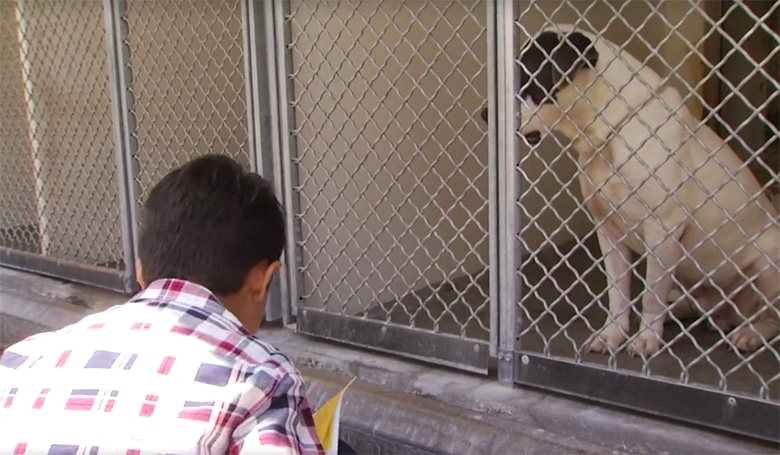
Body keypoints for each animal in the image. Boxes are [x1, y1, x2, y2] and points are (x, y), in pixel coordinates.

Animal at [482, 26, 780, 358]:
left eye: (526, 77)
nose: (485, 114)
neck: (607, 132)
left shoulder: (663, 230)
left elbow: (651, 293)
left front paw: (646, 338)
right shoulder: (609, 230)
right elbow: (618, 291)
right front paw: (612, 334)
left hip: (769, 264)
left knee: (768, 317)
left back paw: (750, 333)